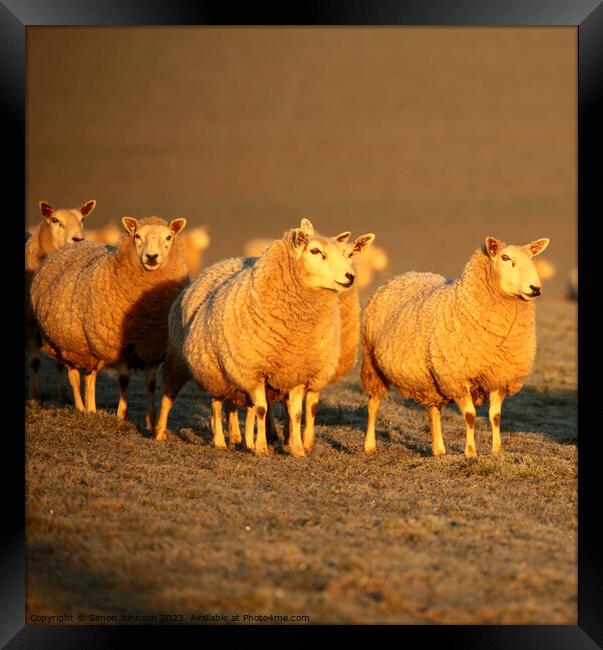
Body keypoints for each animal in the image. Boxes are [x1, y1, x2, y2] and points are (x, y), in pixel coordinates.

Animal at [24, 199, 95, 400]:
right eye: (55, 220)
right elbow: (34, 361)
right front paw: (34, 395)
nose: (78, 239)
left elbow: (60, 363)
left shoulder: (55, 328)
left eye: (82, 219)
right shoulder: (30, 323)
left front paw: (64, 395)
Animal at [30, 214, 189, 426]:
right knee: (77, 378)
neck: (147, 313)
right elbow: (123, 380)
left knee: (88, 378)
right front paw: (121, 416)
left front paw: (151, 420)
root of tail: (66, 247)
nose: (151, 257)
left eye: (169, 237)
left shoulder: (153, 348)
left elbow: (150, 385)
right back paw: (84, 409)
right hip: (72, 345)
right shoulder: (117, 346)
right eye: (137, 236)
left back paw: (89, 409)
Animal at [153, 218, 358, 456]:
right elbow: (261, 409)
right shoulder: (253, 370)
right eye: (315, 251)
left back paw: (236, 438)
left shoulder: (297, 371)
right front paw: (261, 448)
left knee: (227, 404)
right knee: (189, 399)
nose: (350, 276)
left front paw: (297, 449)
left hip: (225, 373)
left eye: (346, 253)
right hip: (187, 362)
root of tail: (222, 262)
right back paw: (172, 435)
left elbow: (296, 414)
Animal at [364, 234, 552, 456]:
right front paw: (470, 452)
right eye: (505, 258)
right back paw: (369, 445)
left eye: (532, 258)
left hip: (431, 378)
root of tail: (402, 275)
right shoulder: (457, 377)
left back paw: (439, 450)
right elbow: (470, 415)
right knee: (373, 404)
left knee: (433, 410)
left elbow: (495, 416)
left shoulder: (498, 375)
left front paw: (497, 451)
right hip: (372, 363)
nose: (535, 288)